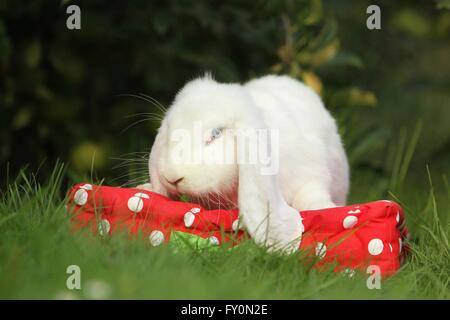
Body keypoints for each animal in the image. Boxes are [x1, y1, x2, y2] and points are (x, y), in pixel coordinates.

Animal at [140, 74, 348, 252]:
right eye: (169, 130)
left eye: (216, 134)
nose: (171, 177)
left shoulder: (311, 176)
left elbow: (311, 195)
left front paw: (325, 208)